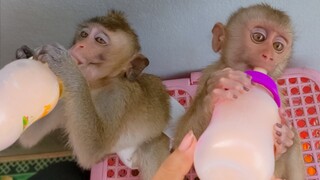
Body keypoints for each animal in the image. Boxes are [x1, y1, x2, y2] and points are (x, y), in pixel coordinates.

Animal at [172, 3, 304, 180]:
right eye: (258, 37)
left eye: (278, 46)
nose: (269, 56)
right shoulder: (211, 73)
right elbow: (182, 142)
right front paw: (215, 91)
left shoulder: (278, 97)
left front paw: (283, 139)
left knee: (295, 142)